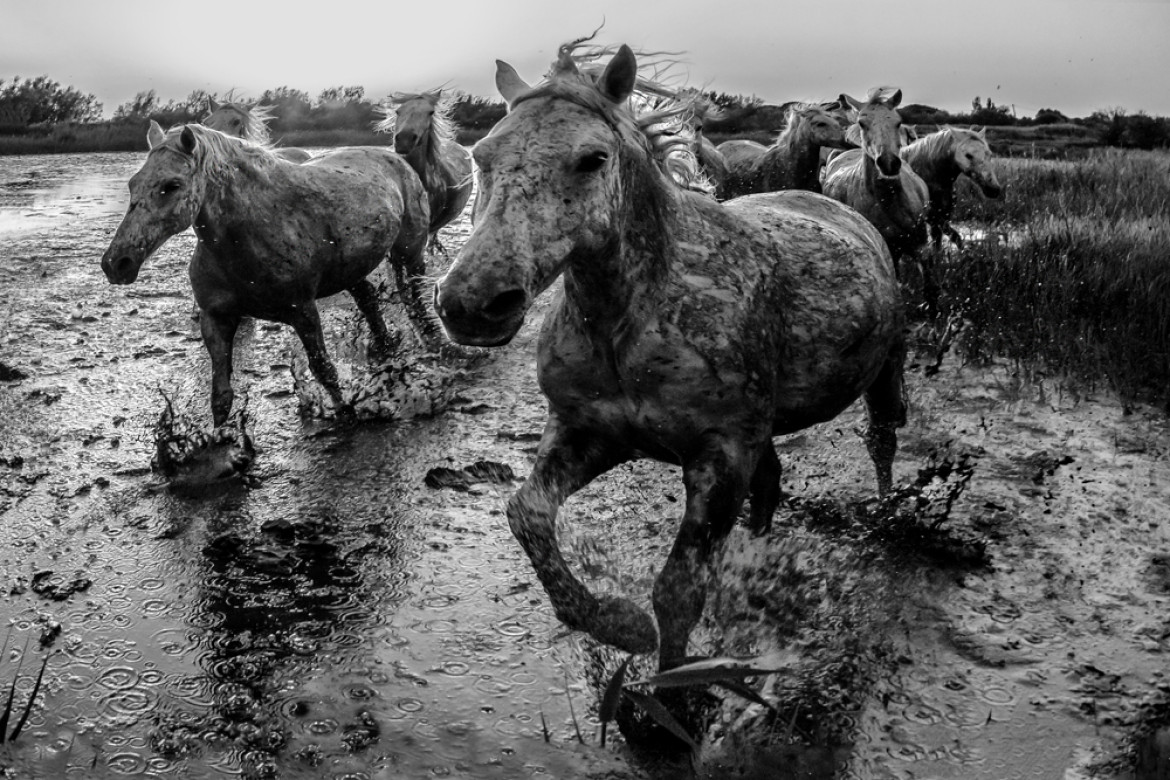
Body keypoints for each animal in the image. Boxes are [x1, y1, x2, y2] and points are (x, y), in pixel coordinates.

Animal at [100, 121, 437, 428]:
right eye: (133, 184)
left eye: (171, 186)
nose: (117, 263)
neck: (252, 231)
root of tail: (396, 159)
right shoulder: (215, 318)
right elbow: (220, 396)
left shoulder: (303, 311)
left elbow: (324, 369)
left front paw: (346, 414)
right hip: (352, 271)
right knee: (369, 301)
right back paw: (386, 345)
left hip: (409, 254)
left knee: (415, 294)